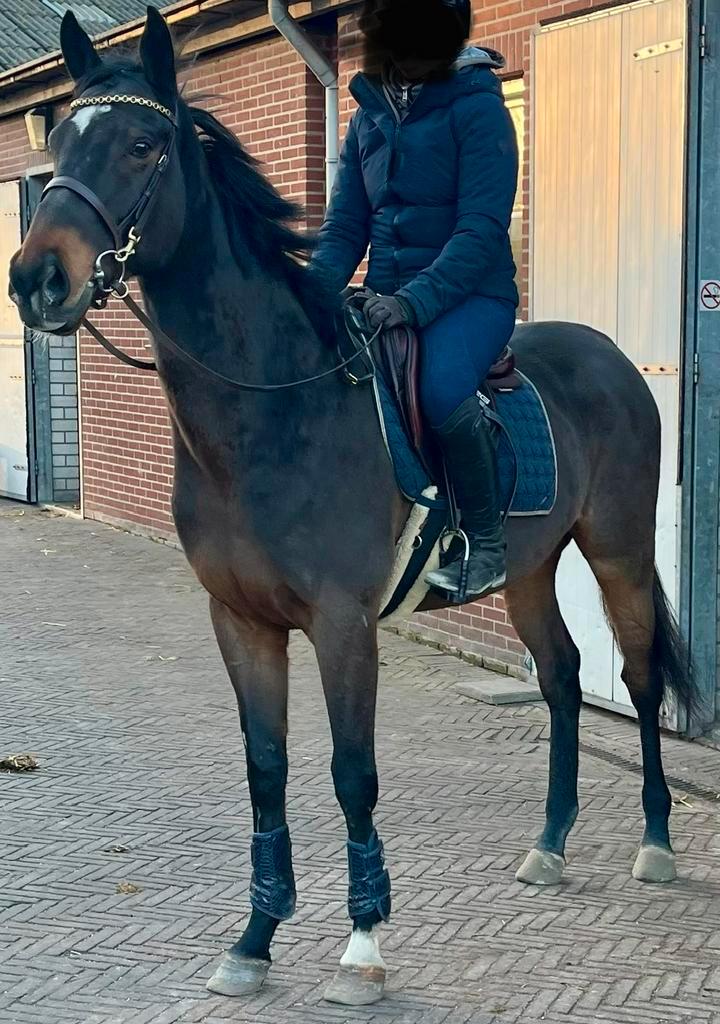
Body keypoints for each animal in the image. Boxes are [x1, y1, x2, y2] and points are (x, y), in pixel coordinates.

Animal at [9, 7, 698, 1007]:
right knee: (565, 677)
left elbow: (351, 774)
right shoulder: (240, 621)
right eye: (60, 141)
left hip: (619, 552)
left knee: (639, 682)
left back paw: (655, 842)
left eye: (142, 145)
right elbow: (266, 771)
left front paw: (363, 946)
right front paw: (254, 939)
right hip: (531, 568)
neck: (271, 410)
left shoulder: (343, 624)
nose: (36, 281)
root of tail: (611, 359)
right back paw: (548, 847)